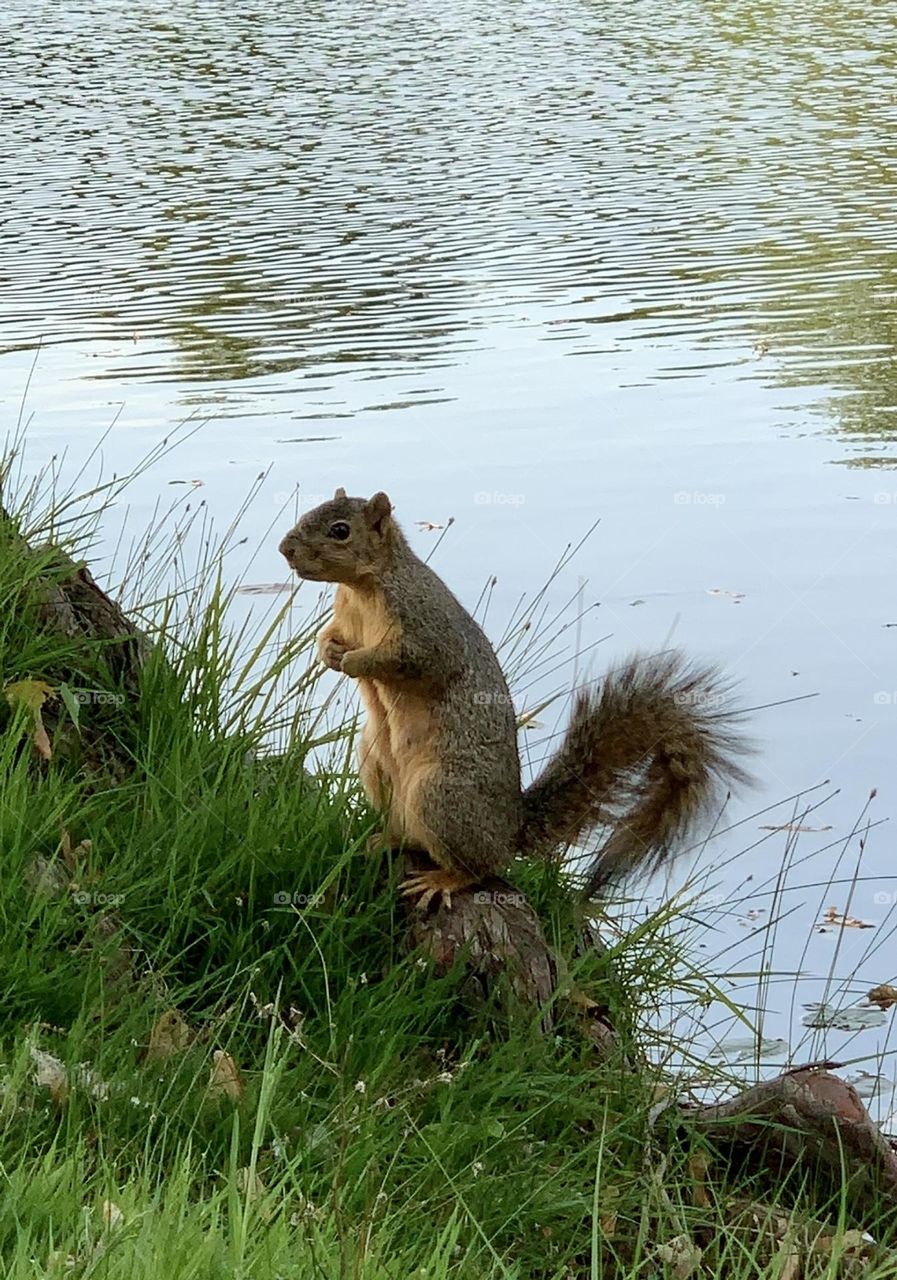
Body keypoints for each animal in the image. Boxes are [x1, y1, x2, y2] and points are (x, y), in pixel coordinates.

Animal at [279, 489, 751, 910]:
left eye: (340, 531)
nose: (286, 550)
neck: (362, 588)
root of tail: (511, 829)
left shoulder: (424, 627)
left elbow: (413, 660)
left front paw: (354, 660)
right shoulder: (345, 617)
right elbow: (328, 636)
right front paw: (330, 653)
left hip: (442, 794)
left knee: (480, 868)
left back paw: (444, 880)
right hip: (376, 763)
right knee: (409, 834)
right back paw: (383, 840)